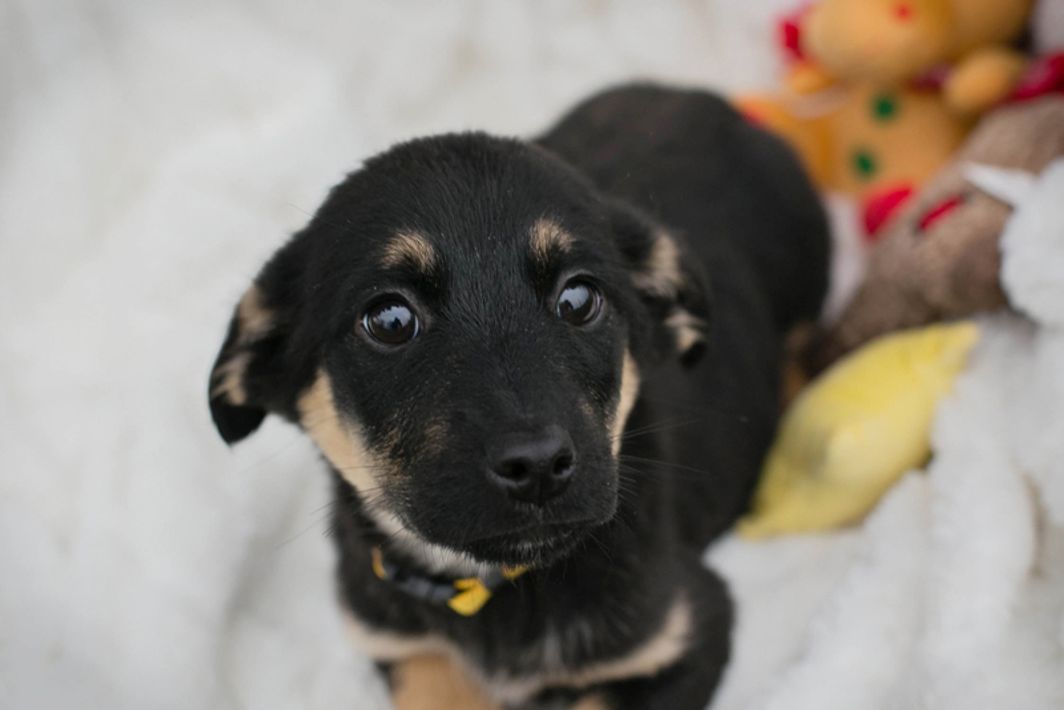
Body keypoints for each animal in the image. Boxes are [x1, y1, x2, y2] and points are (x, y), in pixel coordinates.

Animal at [209, 84, 829, 709]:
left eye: (579, 299)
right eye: (389, 319)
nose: (537, 466)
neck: (493, 585)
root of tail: (700, 96)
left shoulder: (683, 630)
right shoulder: (401, 644)